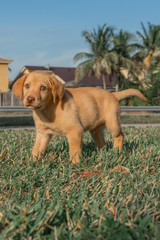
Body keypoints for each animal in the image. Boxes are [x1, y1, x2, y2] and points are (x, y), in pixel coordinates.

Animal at [12, 71, 148, 163]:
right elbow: (37, 149)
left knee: (119, 136)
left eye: (43, 88)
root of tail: (113, 94)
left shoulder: (75, 130)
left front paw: (75, 164)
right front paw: (32, 162)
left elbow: (74, 150)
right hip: (96, 130)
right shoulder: (43, 133)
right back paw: (103, 154)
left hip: (112, 122)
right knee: (102, 143)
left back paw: (116, 152)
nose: (30, 99)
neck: (47, 109)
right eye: (27, 86)